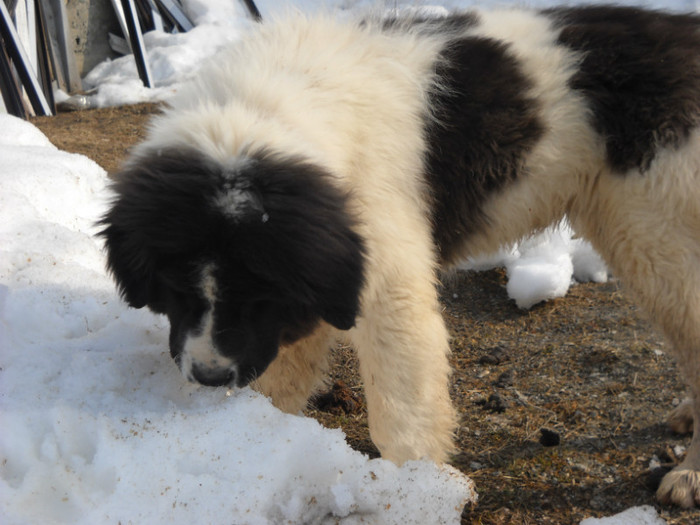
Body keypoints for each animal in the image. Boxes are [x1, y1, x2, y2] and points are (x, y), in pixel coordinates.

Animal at [100, 6, 700, 508]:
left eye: (256, 294)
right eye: (174, 289)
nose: (207, 377)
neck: (262, 110)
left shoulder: (384, 282)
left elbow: (400, 405)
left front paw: (415, 489)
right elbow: (284, 373)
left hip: (659, 240)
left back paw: (687, 475)